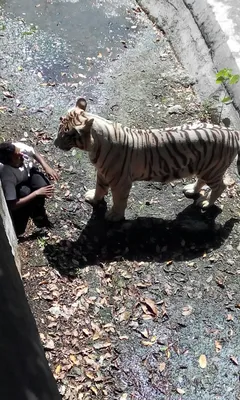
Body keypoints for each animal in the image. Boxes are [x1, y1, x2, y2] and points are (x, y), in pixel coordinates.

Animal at [54, 97, 240, 222]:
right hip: (203, 167)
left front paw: (114, 216)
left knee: (220, 186)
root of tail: (233, 132)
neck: (94, 146)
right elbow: (100, 188)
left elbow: (119, 200)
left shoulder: (121, 181)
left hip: (213, 170)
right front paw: (93, 198)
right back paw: (191, 190)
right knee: (201, 180)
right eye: (59, 128)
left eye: (66, 134)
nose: (55, 144)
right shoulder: (102, 173)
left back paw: (206, 203)